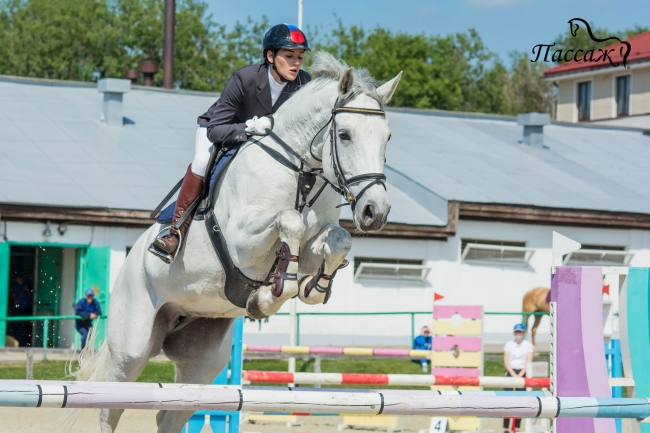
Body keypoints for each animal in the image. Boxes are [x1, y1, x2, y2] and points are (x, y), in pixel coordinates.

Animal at [69, 53, 400, 432]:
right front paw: (272, 293)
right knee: (111, 404)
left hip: (202, 359)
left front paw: (311, 288)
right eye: (344, 135)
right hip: (132, 346)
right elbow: (289, 221)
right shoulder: (243, 242)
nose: (375, 212)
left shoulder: (315, 242)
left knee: (171, 413)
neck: (299, 170)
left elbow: (337, 240)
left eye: (387, 137)